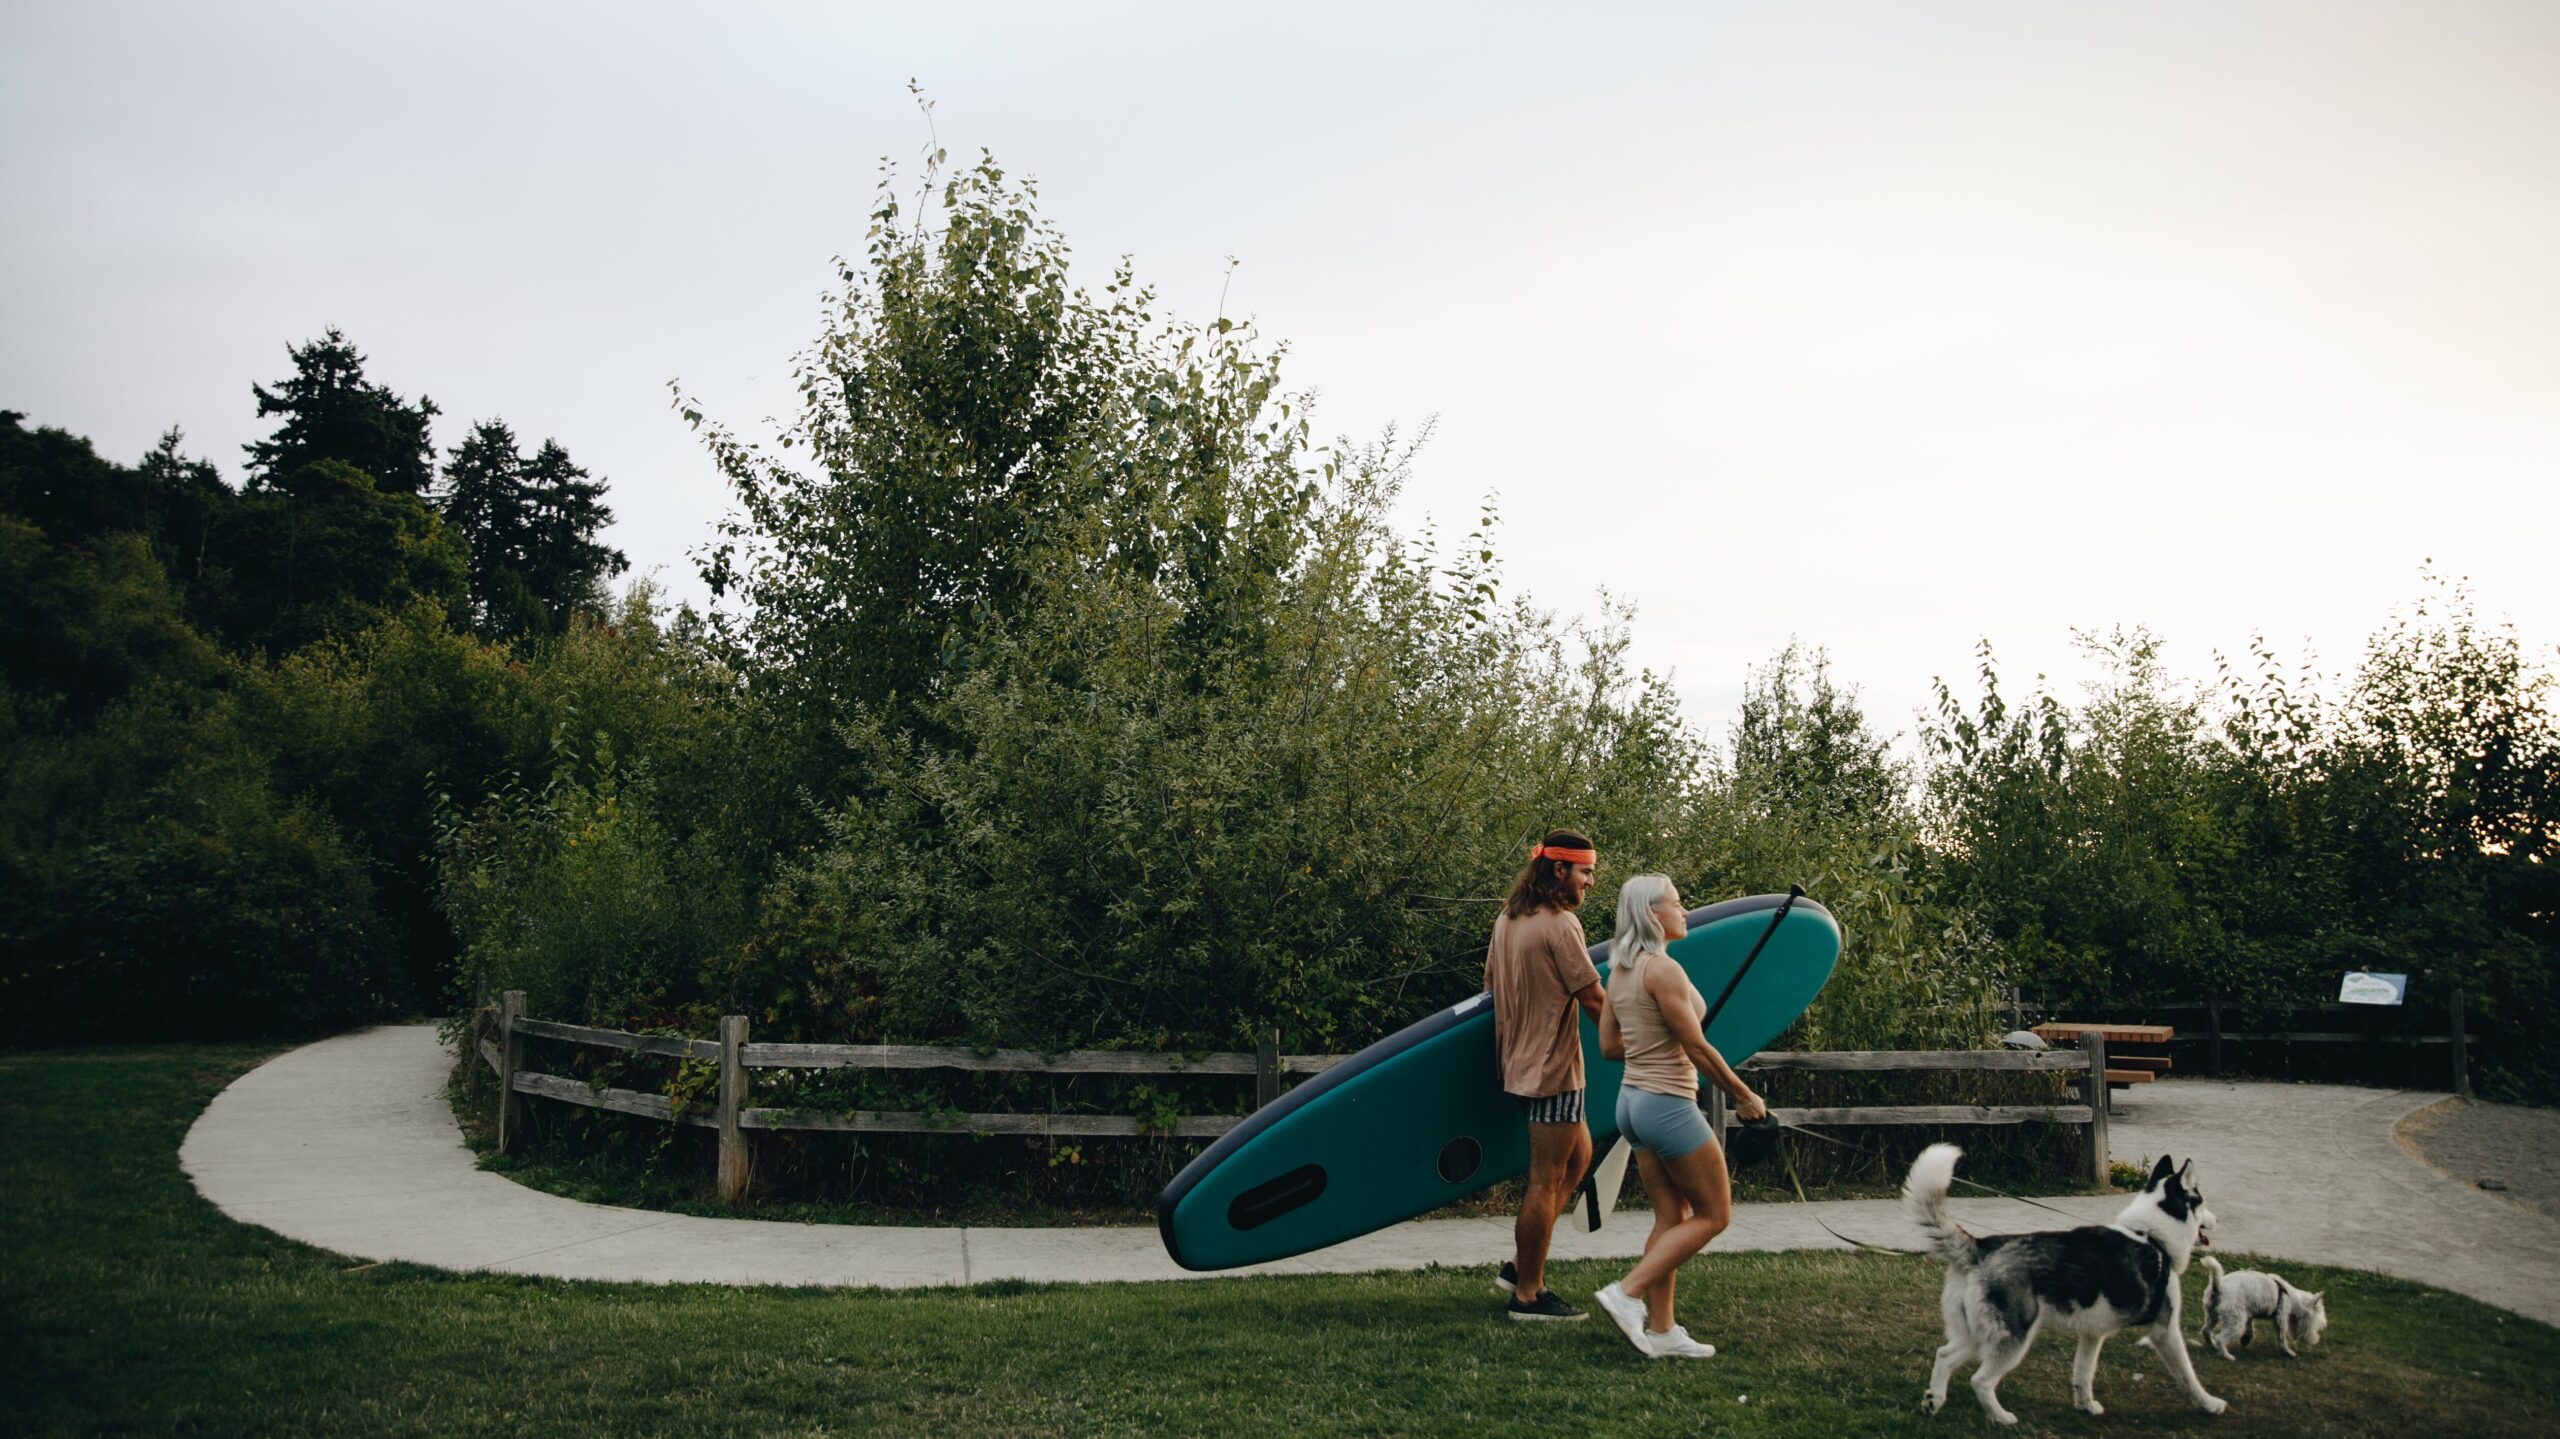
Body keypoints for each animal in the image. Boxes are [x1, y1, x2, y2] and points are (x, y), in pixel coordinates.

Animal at [1904, 1141, 2222, 1423]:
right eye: (2203, 1201)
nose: (2216, 1220)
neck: (2153, 1238)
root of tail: (1981, 1247)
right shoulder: (2165, 1331)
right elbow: (2188, 1376)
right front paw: (2209, 1404)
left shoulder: (2092, 1334)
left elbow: (2083, 1373)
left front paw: (2086, 1406)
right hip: (2013, 1338)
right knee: (1980, 1380)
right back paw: (2001, 1418)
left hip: (1977, 1335)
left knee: (1944, 1355)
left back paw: (1933, 1401)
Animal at [2191, 1254, 2334, 1351]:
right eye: (2317, 1323)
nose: (2316, 1340)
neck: (2291, 1297)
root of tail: (2217, 1287)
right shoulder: (2281, 1315)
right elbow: (2282, 1334)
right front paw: (2287, 1352)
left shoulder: (2249, 1314)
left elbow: (2250, 1326)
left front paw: (2246, 1339)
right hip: (2234, 1318)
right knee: (2221, 1335)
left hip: (2212, 1314)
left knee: (2206, 1330)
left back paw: (2213, 1346)